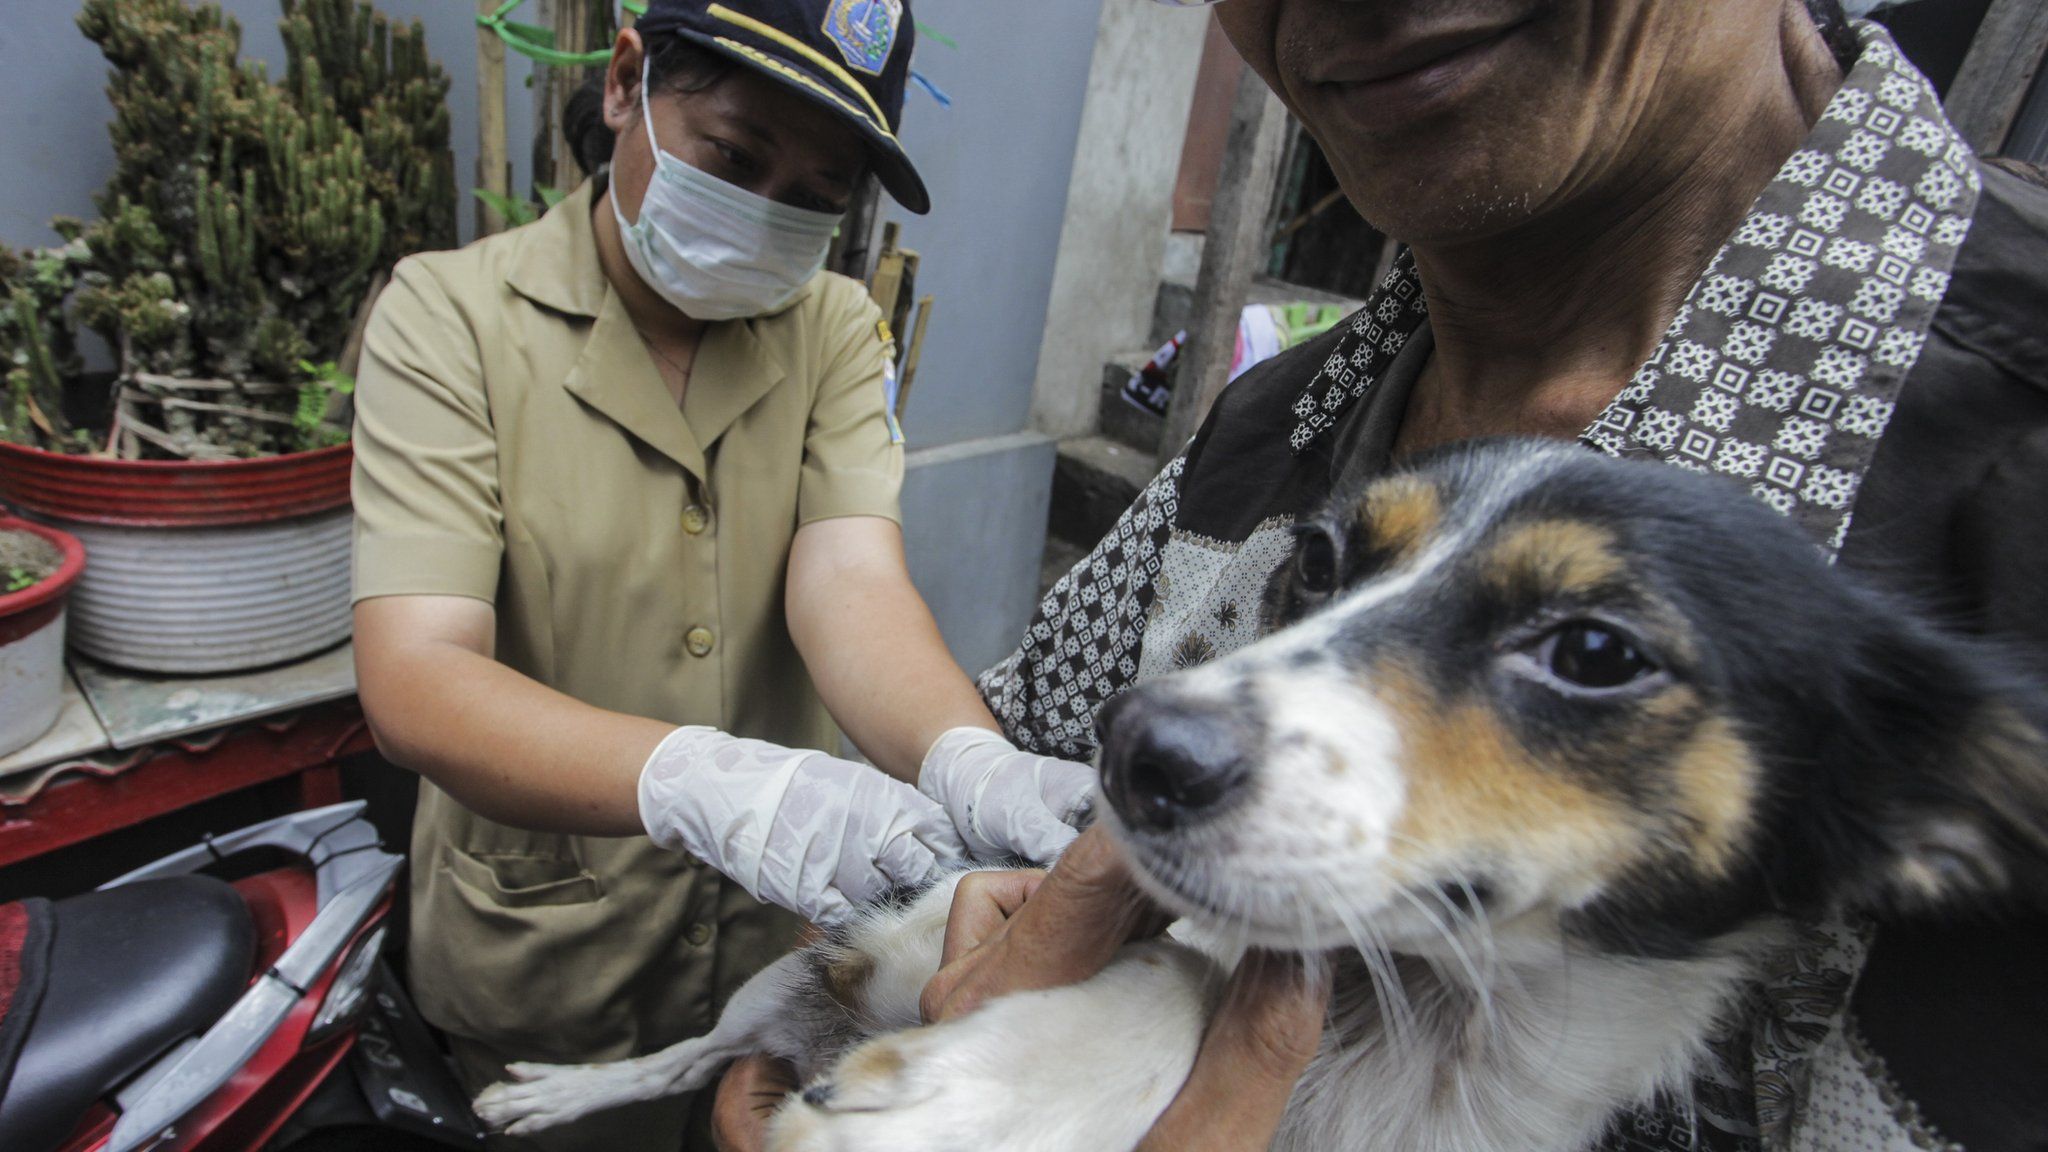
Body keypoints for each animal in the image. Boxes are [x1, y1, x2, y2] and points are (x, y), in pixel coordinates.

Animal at [468, 436, 2048, 1147]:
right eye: (1320, 561)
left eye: (1596, 651)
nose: (1132, 750)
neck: (1419, 1025)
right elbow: (1180, 972)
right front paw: (1005, 1092)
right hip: (789, 980)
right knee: (684, 1054)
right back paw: (558, 1088)